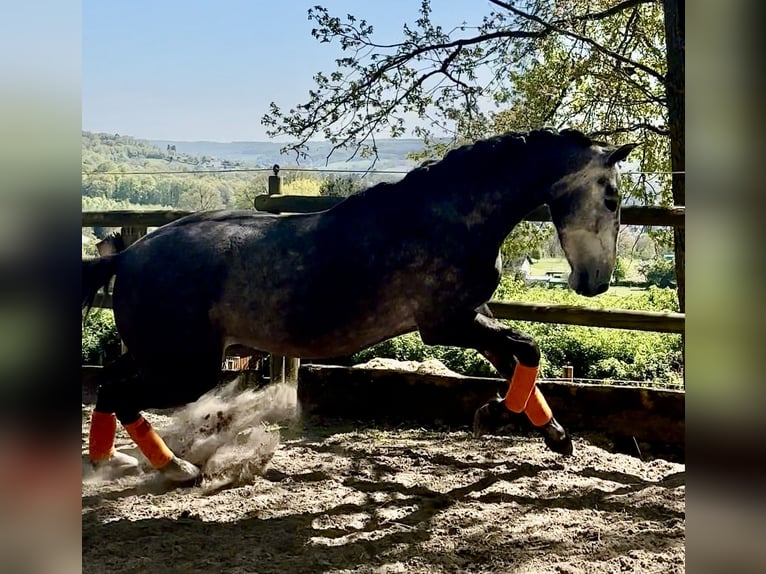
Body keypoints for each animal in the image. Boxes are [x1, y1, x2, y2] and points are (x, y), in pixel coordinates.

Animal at [82, 128, 636, 483]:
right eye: (611, 199)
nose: (595, 283)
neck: (450, 215)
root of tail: (128, 256)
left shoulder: (472, 315)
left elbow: (520, 357)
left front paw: (555, 436)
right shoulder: (445, 324)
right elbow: (527, 349)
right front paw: (495, 414)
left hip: (159, 356)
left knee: (109, 382)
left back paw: (118, 463)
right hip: (185, 369)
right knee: (118, 392)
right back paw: (174, 468)